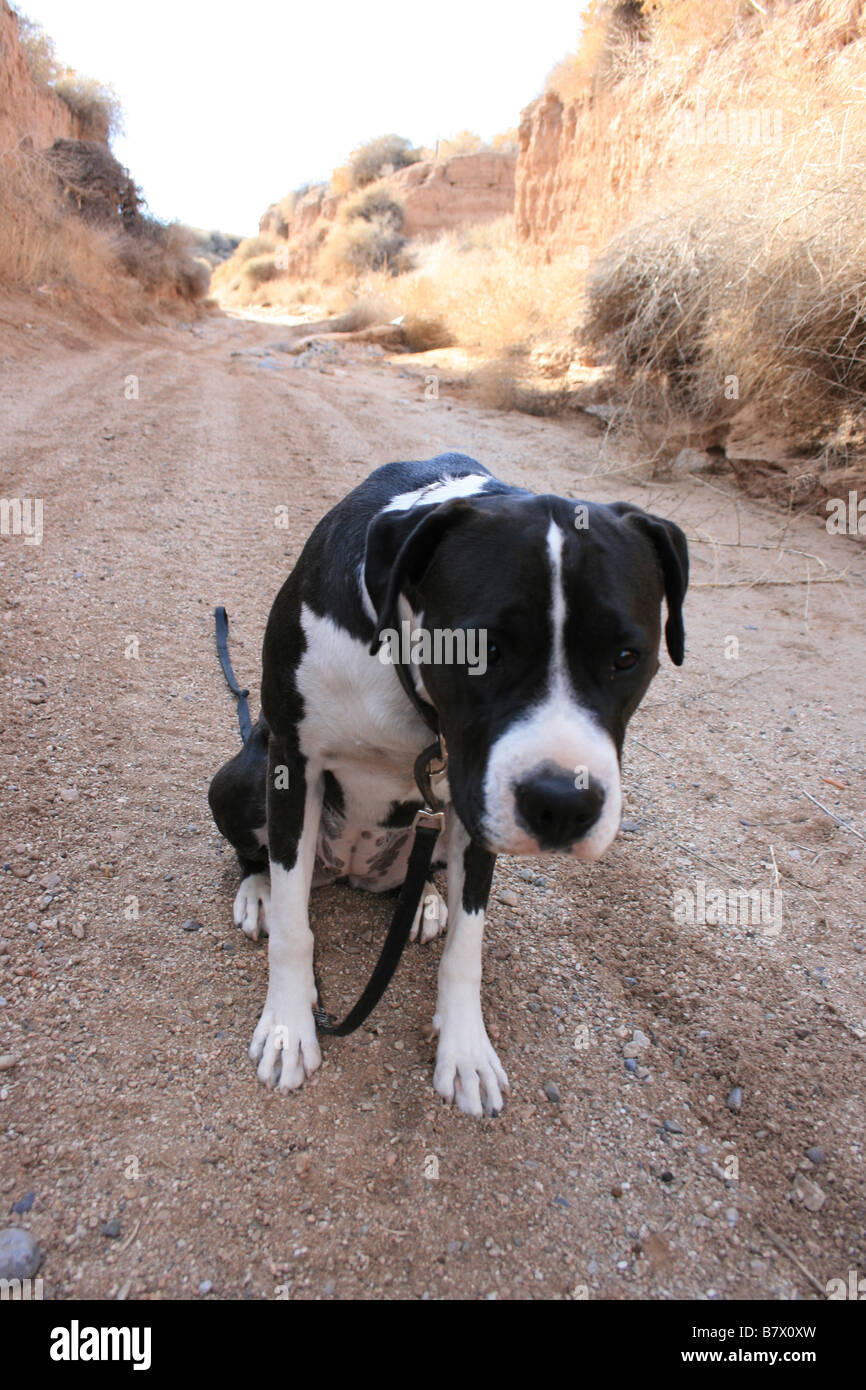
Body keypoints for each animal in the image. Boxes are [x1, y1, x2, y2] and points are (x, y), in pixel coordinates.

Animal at [209, 455, 692, 1117]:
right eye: (480, 650)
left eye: (626, 657)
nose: (564, 805)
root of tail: (347, 871)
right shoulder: (293, 760)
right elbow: (292, 925)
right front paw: (288, 1027)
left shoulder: (474, 798)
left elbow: (468, 944)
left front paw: (465, 1051)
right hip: (241, 779)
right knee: (265, 860)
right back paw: (258, 889)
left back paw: (422, 901)